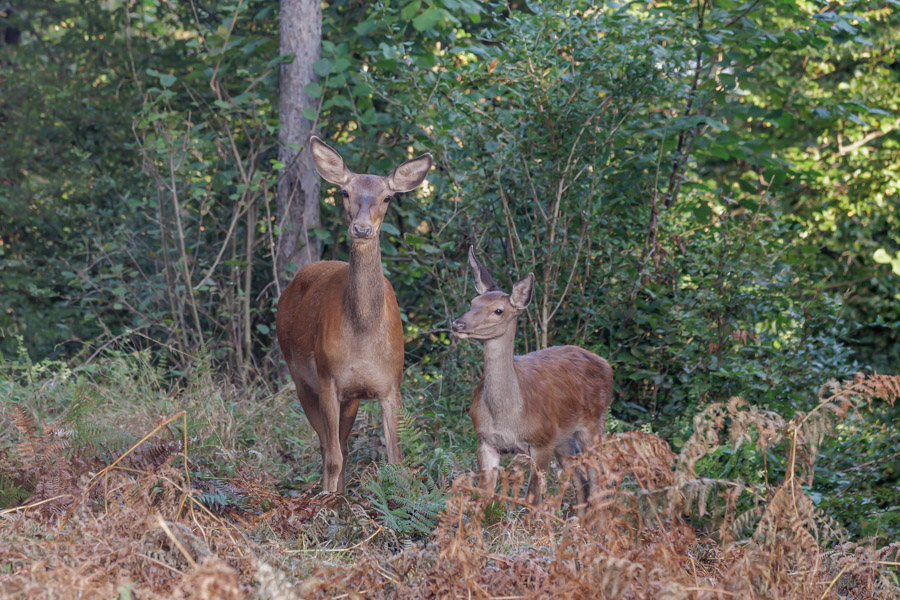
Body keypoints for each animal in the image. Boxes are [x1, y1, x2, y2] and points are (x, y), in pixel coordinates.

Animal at [278, 136, 432, 492]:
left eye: (388, 196)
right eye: (345, 192)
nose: (361, 229)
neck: (363, 336)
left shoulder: (390, 385)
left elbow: (396, 461)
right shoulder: (328, 378)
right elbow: (331, 455)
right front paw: (327, 499)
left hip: (351, 398)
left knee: (344, 445)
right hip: (300, 377)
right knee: (327, 445)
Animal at [450, 246, 612, 508]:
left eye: (498, 310)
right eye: (473, 302)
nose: (458, 324)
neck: (507, 416)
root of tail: (607, 365)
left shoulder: (541, 441)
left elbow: (533, 501)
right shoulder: (484, 440)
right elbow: (484, 497)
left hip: (594, 423)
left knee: (599, 474)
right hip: (564, 439)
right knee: (582, 480)